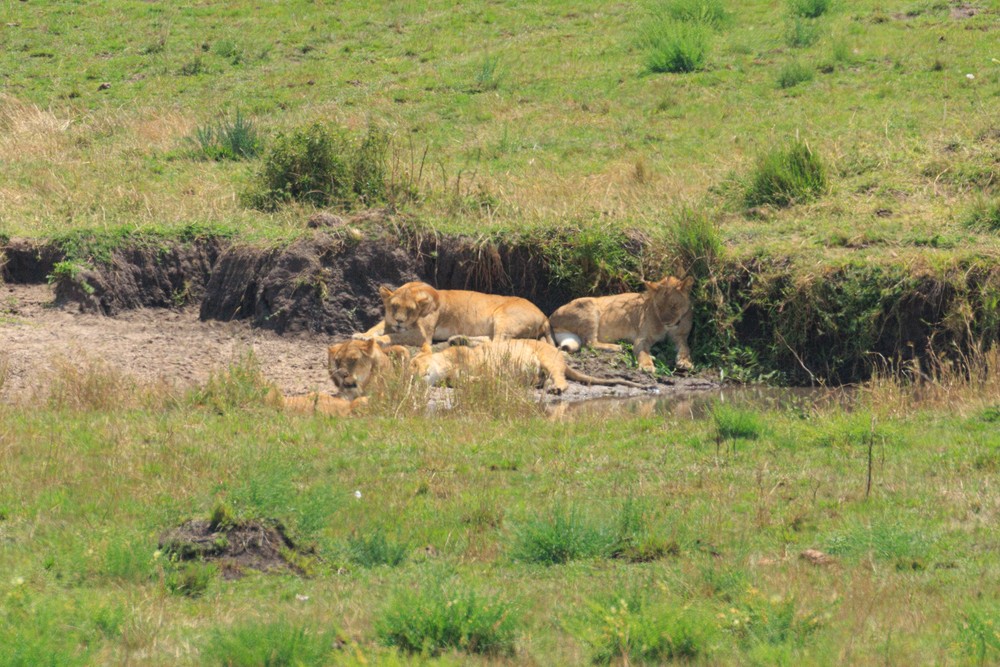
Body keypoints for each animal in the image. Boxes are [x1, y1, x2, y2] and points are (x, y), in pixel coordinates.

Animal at [356, 282, 551, 352]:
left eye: (410, 310)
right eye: (394, 307)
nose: (399, 321)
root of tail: (544, 315)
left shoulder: (423, 336)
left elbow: (393, 335)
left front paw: (379, 340)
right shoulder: (388, 321)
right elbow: (376, 327)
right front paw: (362, 335)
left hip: (503, 315)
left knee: (498, 343)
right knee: (492, 340)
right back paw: (458, 339)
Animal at [548, 275, 695, 372]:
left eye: (674, 306)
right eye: (659, 306)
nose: (666, 322)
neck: (668, 328)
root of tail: (551, 317)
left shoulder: (680, 337)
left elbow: (685, 349)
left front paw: (685, 362)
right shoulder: (642, 338)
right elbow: (643, 353)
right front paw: (647, 366)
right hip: (589, 305)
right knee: (590, 343)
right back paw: (616, 347)